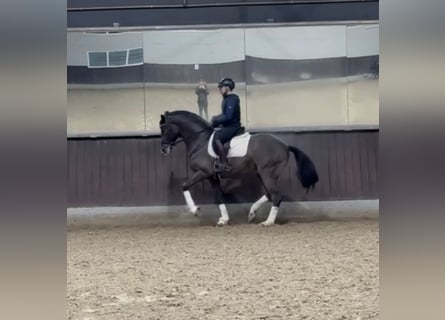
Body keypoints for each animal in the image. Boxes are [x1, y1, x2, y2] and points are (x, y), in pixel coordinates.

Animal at [158, 111, 318, 226]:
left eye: (164, 128)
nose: (164, 149)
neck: (200, 141)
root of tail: (284, 145)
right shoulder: (212, 177)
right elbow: (218, 197)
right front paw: (224, 219)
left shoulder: (203, 172)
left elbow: (184, 185)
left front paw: (195, 210)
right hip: (262, 173)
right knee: (269, 193)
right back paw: (252, 213)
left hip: (267, 173)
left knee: (276, 195)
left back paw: (268, 222)